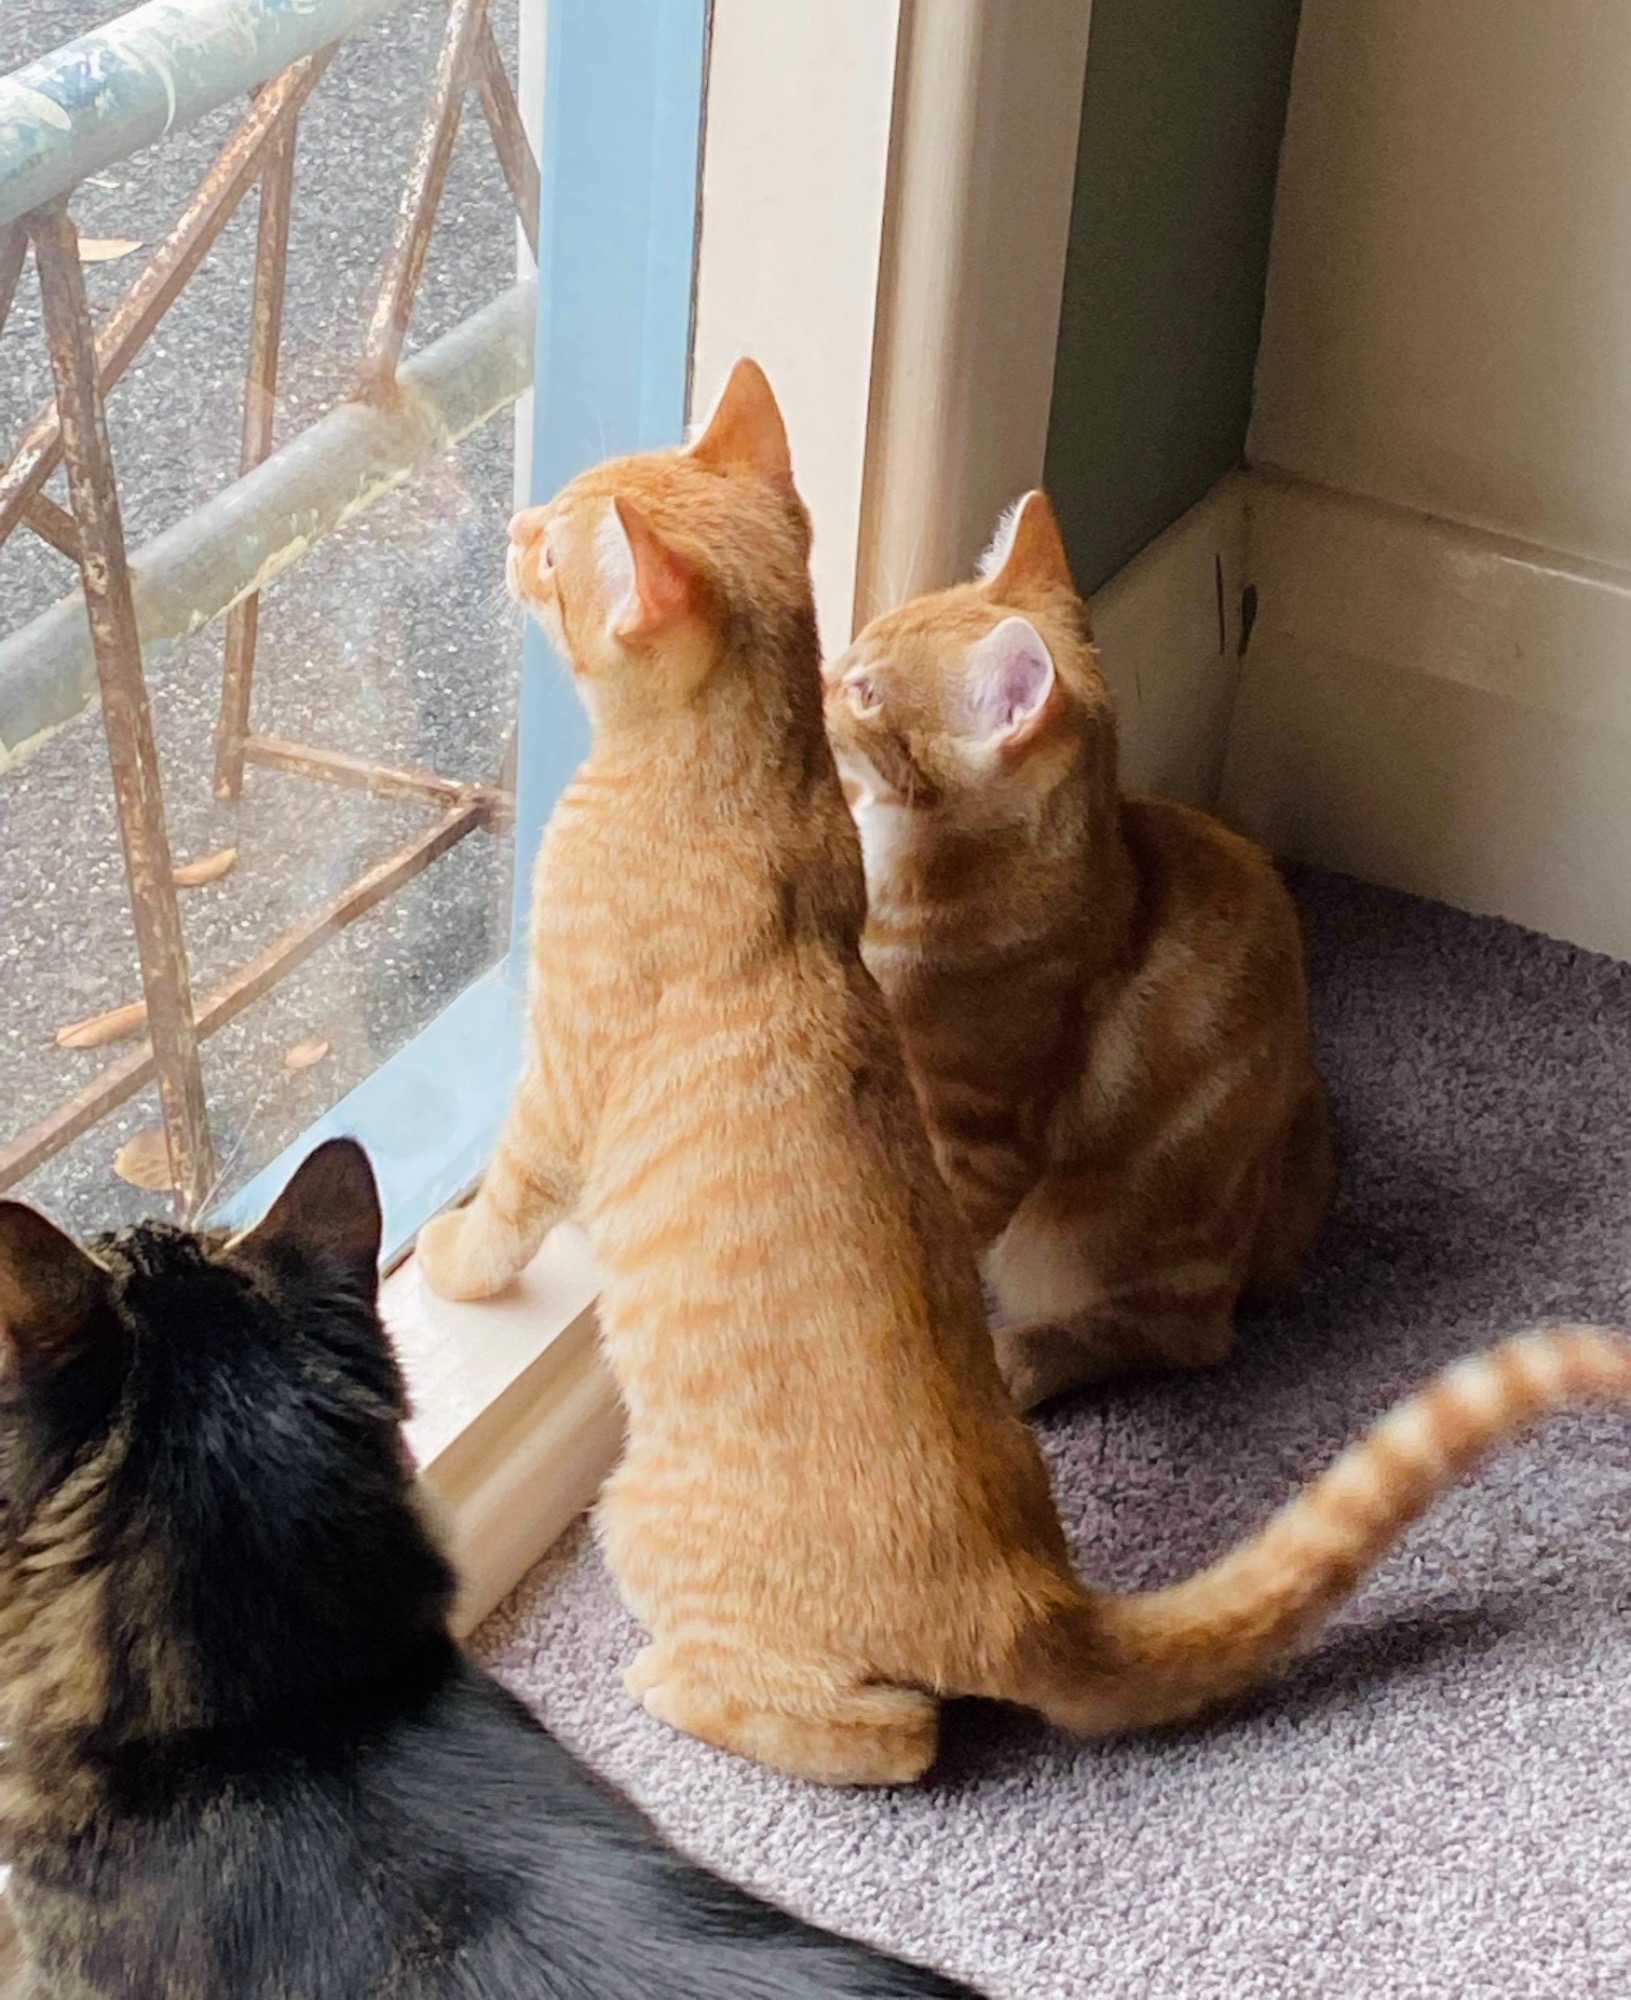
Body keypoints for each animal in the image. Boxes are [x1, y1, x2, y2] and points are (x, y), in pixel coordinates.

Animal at [822, 488, 1334, 1411]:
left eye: (866, 692)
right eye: (854, 650)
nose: (816, 682)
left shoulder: (982, 1135)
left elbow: (947, 1234)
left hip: (1086, 1239)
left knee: (1180, 1336)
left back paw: (1020, 1357)